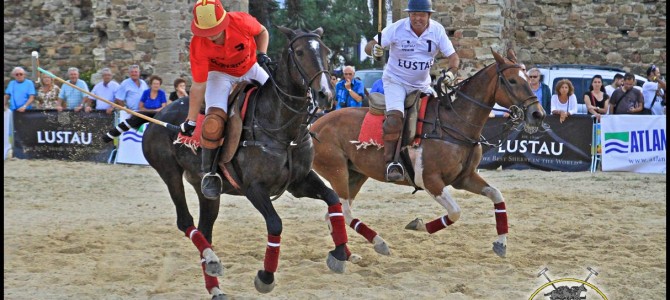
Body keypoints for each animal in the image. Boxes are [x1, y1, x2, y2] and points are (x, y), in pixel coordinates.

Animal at [124, 27, 352, 298]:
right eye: (299, 52)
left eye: (326, 51)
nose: (325, 95)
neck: (282, 128)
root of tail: (158, 114)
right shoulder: (254, 187)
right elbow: (275, 224)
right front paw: (265, 277)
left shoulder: (299, 182)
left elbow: (332, 198)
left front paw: (339, 253)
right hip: (169, 173)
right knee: (185, 221)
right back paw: (212, 261)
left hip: (206, 189)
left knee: (205, 228)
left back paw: (214, 282)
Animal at [310, 48, 544, 258]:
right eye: (512, 81)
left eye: (528, 78)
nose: (537, 114)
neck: (454, 123)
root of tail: (314, 126)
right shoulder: (430, 179)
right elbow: (455, 212)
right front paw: (418, 224)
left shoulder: (464, 178)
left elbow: (497, 195)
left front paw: (501, 244)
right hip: (337, 171)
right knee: (342, 211)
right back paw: (367, 247)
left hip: (356, 174)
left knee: (336, 213)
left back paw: (360, 249)